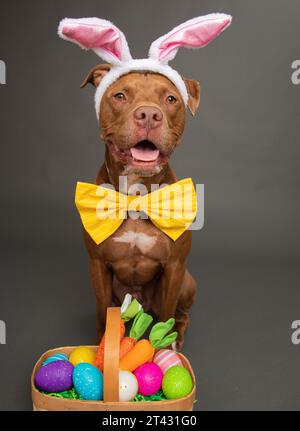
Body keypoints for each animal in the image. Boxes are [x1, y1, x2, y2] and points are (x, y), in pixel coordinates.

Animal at [81, 66, 200, 352]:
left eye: (171, 99)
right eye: (120, 96)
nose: (149, 115)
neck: (136, 196)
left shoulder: (175, 267)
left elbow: (167, 315)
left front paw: (163, 350)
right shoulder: (97, 265)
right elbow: (103, 313)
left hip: (187, 282)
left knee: (182, 314)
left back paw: (177, 338)